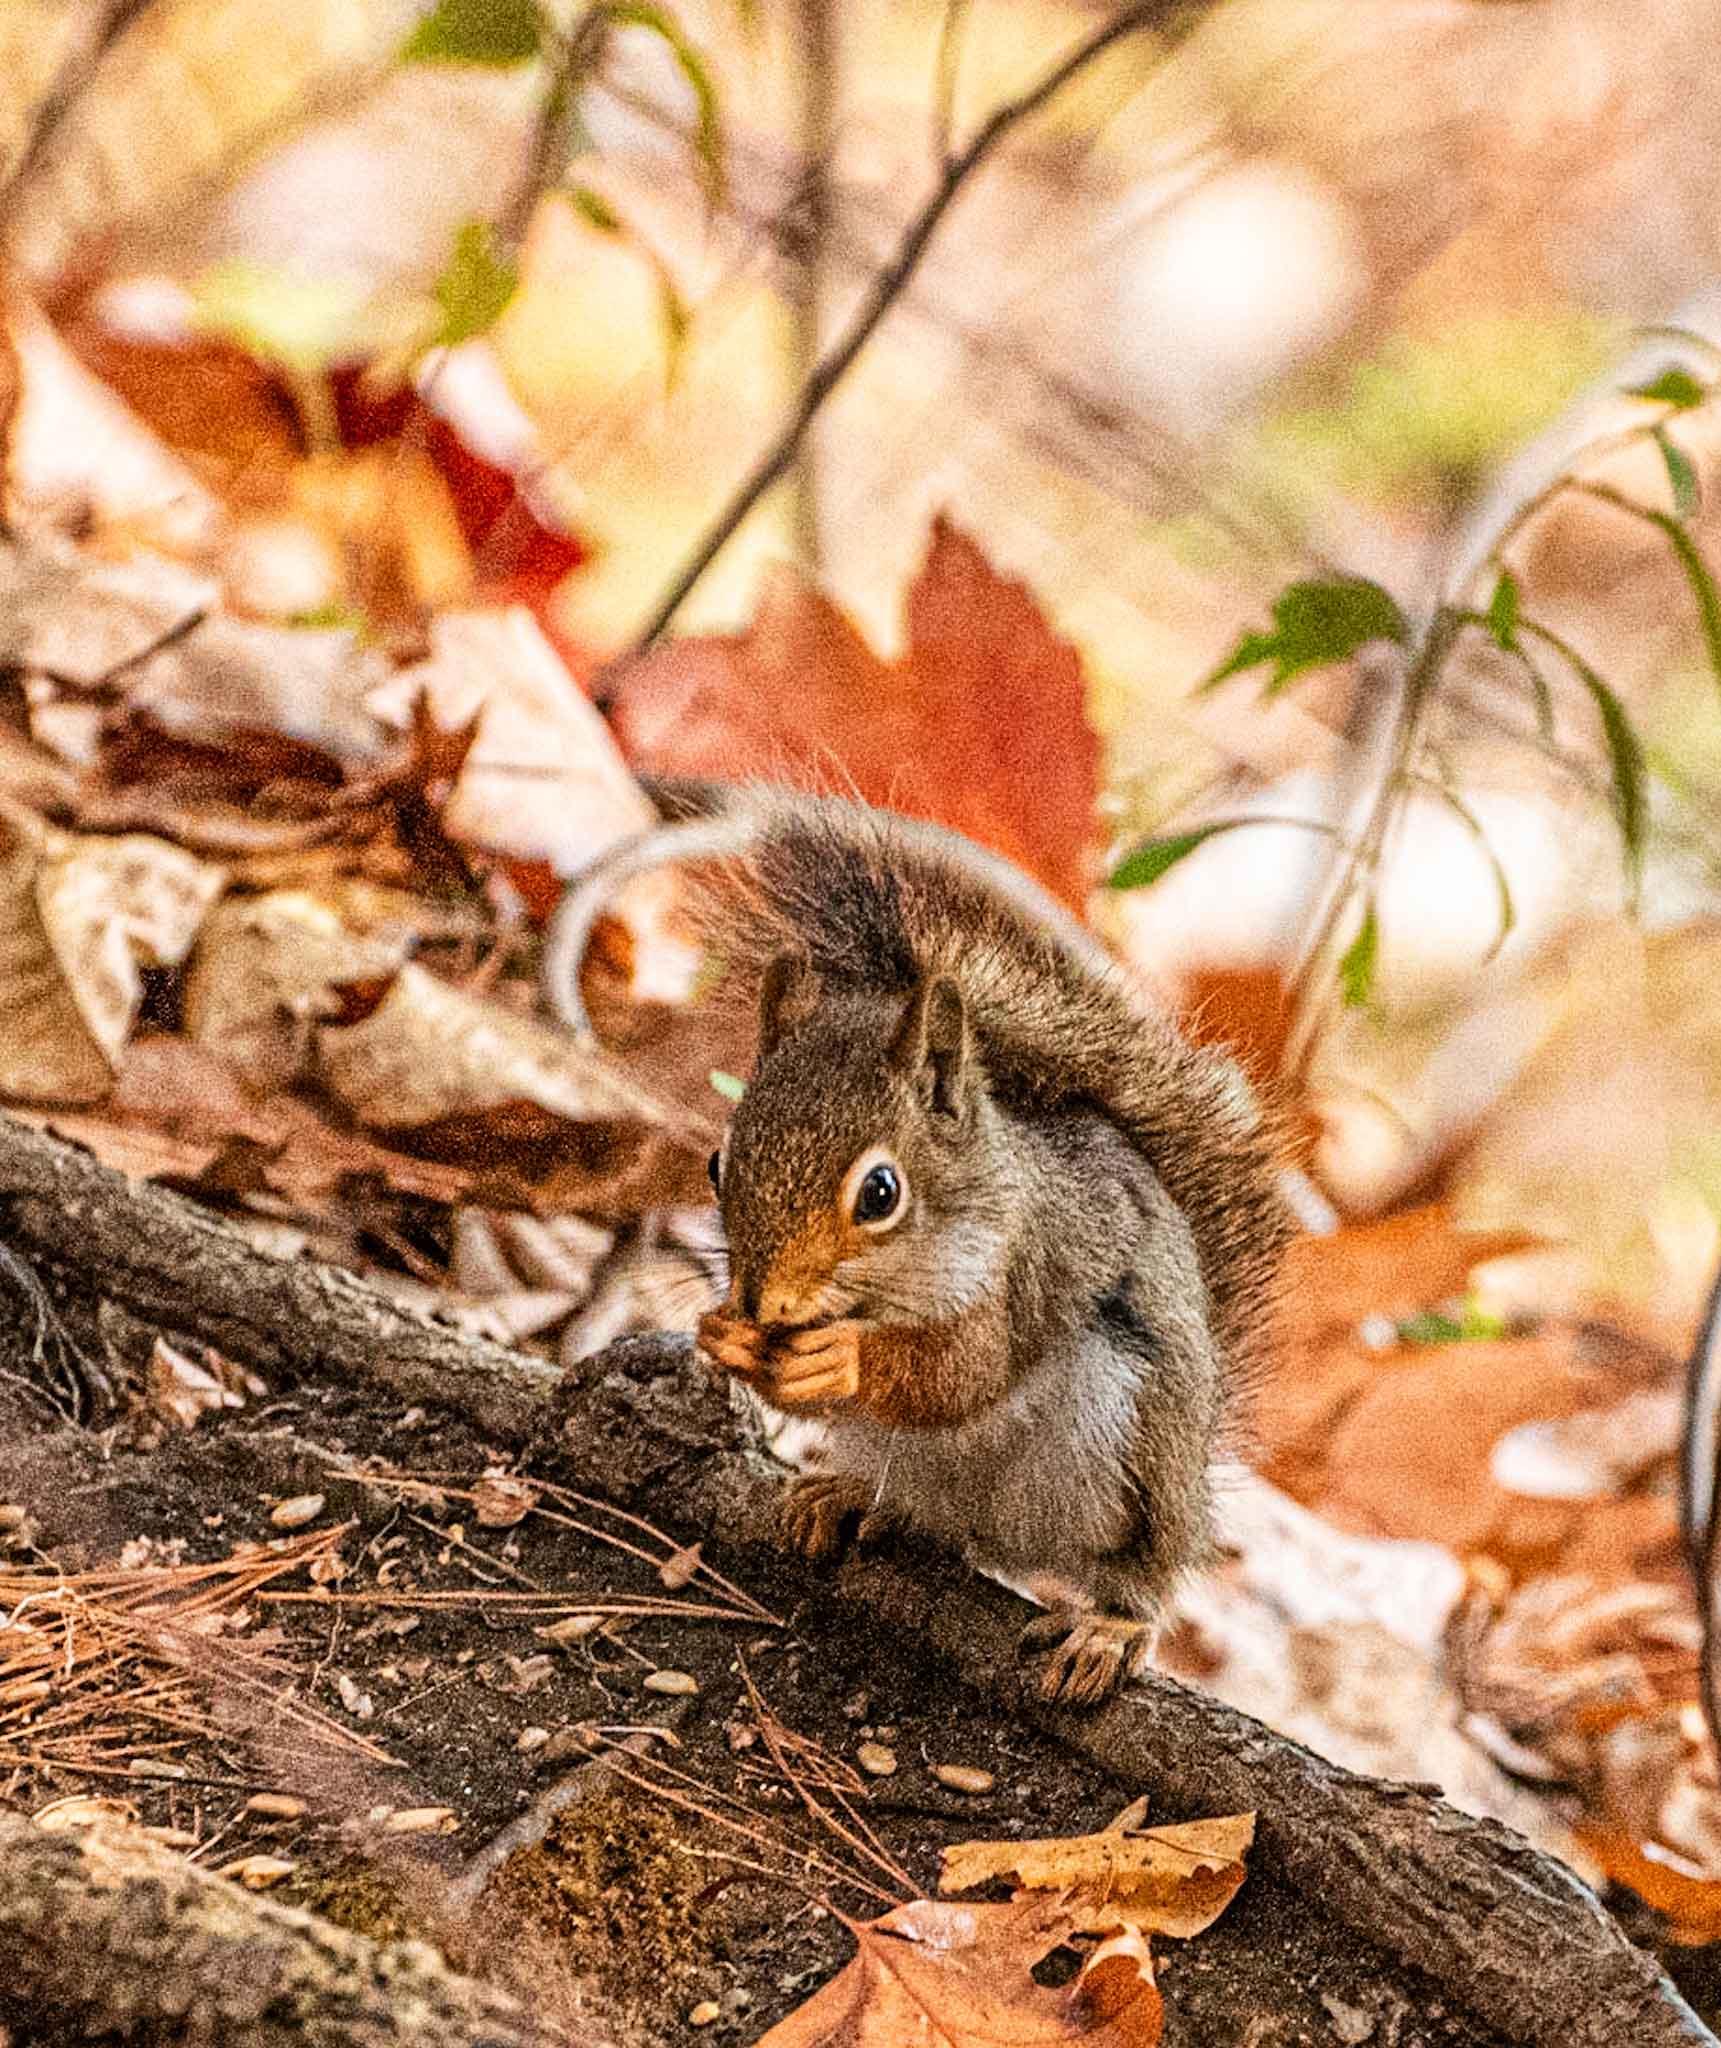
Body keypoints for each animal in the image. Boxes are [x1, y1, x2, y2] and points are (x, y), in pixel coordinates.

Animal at [544, 788, 1295, 1703]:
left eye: (879, 1193)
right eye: (717, 1165)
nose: (762, 1301)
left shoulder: (1024, 1265)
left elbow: (962, 1373)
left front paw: (842, 1359)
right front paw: (724, 1335)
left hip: (1136, 1450)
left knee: (1139, 1571)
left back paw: (1107, 1628)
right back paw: (850, 1501)